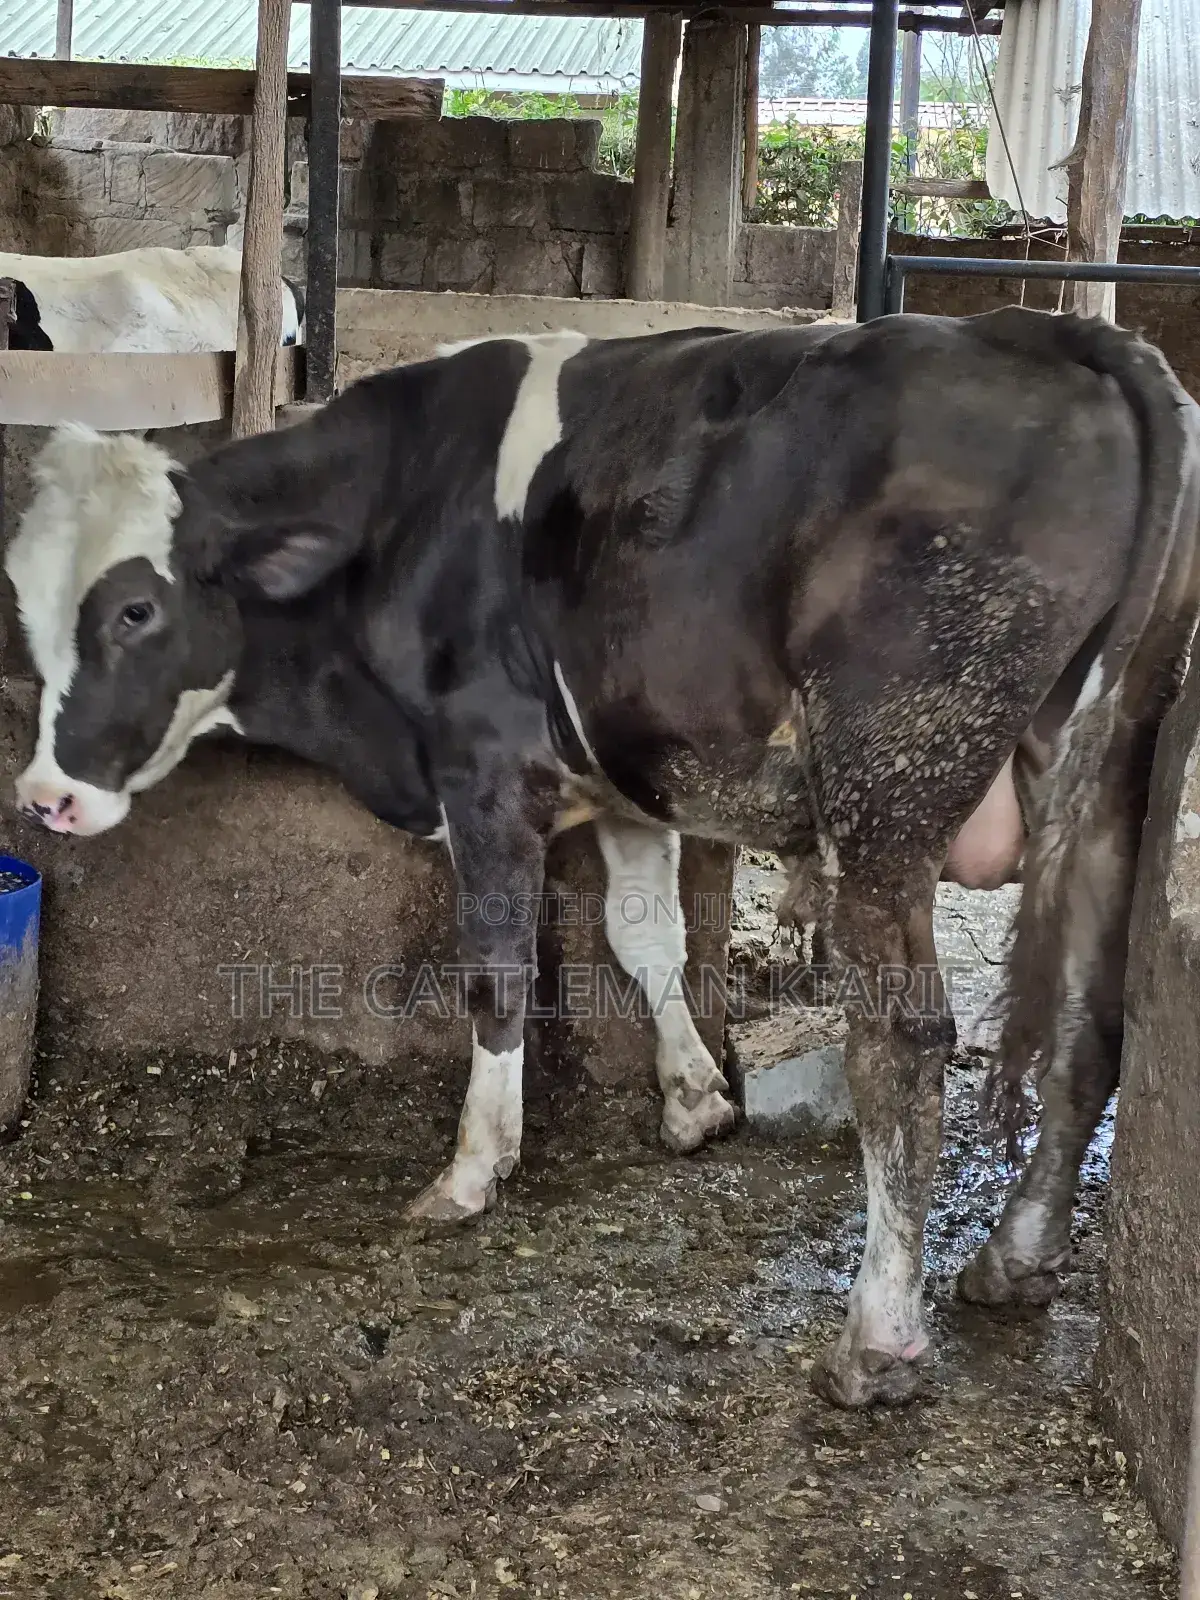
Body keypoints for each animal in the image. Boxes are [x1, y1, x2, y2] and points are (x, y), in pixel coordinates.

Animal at [5, 306, 1199, 1411]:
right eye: (27, 608)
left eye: (135, 608)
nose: (46, 797)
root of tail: (1042, 330)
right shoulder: (627, 774)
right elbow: (644, 939)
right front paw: (695, 1100)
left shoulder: (485, 768)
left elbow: (497, 973)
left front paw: (472, 1171)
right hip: (1109, 782)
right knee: (1093, 1014)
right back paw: (1016, 1256)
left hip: (892, 777)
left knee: (902, 1040)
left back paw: (878, 1336)